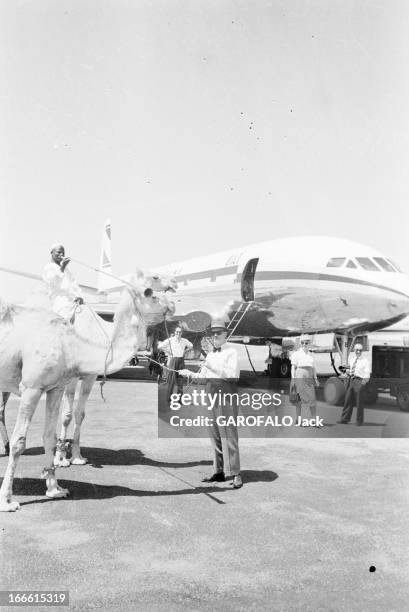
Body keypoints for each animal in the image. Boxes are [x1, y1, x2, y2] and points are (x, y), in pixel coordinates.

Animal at [0, 276, 164, 512]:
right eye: (150, 293)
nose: (173, 305)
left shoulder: (64, 383)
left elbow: (57, 429)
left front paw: (57, 485)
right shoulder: (34, 386)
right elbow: (23, 440)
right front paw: (7, 500)